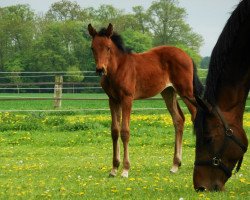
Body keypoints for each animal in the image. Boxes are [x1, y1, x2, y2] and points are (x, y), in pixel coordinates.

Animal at [88, 23, 203, 178]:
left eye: (108, 47)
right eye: (92, 48)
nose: (100, 69)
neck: (118, 68)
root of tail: (188, 56)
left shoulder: (127, 99)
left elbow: (125, 131)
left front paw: (125, 169)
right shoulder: (113, 100)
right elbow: (114, 131)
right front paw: (114, 168)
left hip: (186, 92)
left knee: (196, 114)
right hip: (168, 92)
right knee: (179, 119)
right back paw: (175, 165)